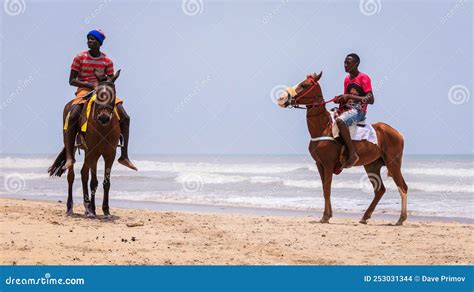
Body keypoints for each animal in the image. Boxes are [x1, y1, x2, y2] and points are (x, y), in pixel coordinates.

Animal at [48, 69, 121, 218]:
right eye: (98, 94)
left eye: (114, 93)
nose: (104, 117)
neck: (103, 128)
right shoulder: (93, 152)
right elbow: (93, 182)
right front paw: (93, 210)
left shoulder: (110, 154)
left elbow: (106, 182)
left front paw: (106, 211)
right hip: (73, 146)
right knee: (71, 176)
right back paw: (71, 208)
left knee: (83, 174)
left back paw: (86, 208)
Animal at [278, 72, 408, 225]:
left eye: (304, 85)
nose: (282, 98)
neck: (324, 127)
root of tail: (397, 133)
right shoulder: (319, 164)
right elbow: (324, 189)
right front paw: (328, 215)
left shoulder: (328, 164)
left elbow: (327, 189)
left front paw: (325, 216)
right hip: (372, 165)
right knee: (380, 190)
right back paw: (365, 217)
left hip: (393, 163)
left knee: (402, 187)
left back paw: (400, 218)